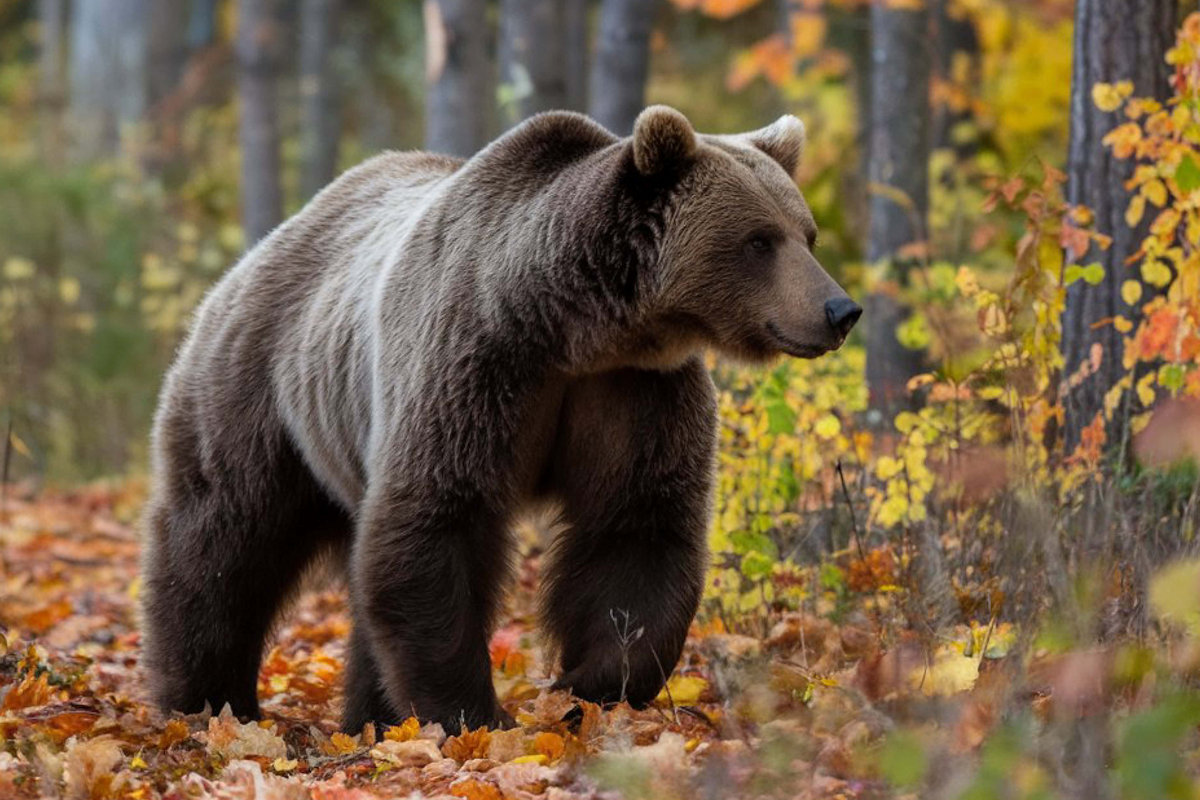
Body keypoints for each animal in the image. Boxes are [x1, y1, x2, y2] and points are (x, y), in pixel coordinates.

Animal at [139, 105, 861, 734]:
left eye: (807, 234)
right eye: (759, 240)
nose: (840, 309)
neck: (578, 326)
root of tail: (260, 250)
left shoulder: (635, 392)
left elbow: (636, 528)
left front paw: (588, 686)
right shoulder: (477, 364)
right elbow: (438, 520)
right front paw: (472, 712)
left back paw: (371, 717)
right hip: (261, 390)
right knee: (225, 536)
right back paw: (205, 699)